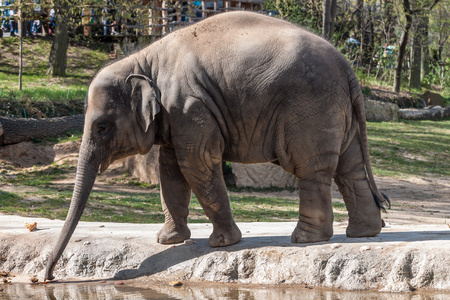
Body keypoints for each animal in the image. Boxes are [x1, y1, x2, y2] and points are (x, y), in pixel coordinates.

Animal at [44, 10, 390, 280]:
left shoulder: (189, 108)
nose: (47, 276)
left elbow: (196, 163)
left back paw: (305, 239)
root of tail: (348, 68)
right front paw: (168, 241)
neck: (143, 60)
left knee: (310, 167)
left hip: (311, 108)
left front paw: (223, 243)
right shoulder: (175, 117)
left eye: (101, 127)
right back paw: (364, 233)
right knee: (349, 167)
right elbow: (170, 170)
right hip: (336, 111)